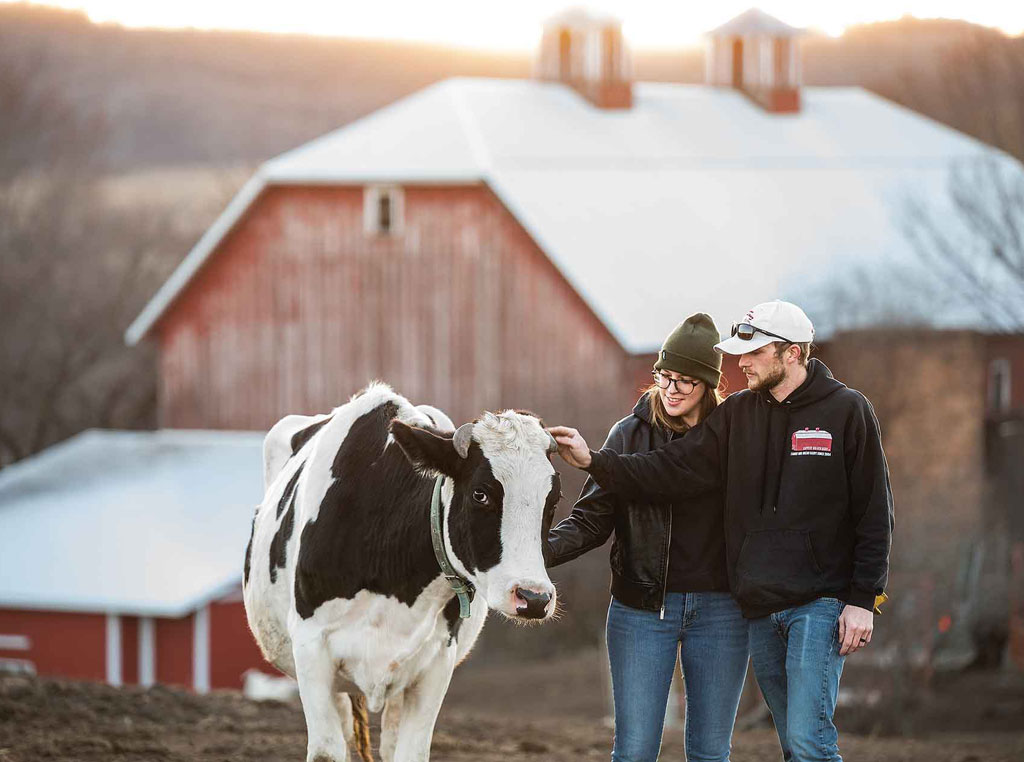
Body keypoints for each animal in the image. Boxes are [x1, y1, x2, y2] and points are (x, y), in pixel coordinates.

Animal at [241, 383, 561, 762]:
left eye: (554, 500)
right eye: (480, 494)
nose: (533, 597)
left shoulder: (437, 660)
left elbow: (410, 751)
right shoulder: (311, 647)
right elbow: (326, 751)